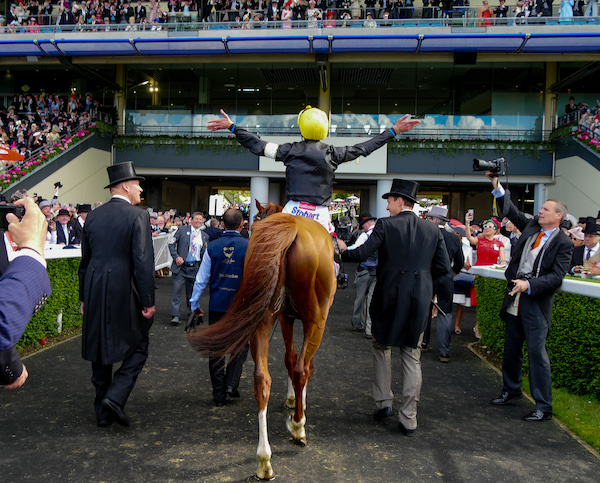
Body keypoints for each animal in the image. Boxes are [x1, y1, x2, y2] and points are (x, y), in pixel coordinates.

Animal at [188, 201, 338, 480]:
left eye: (255, 221)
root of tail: (293, 228)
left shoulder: (286, 317)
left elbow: (289, 358)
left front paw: (292, 399)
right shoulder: (304, 320)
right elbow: (302, 365)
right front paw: (298, 405)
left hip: (264, 317)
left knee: (262, 379)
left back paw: (264, 460)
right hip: (316, 319)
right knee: (302, 369)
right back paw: (298, 428)